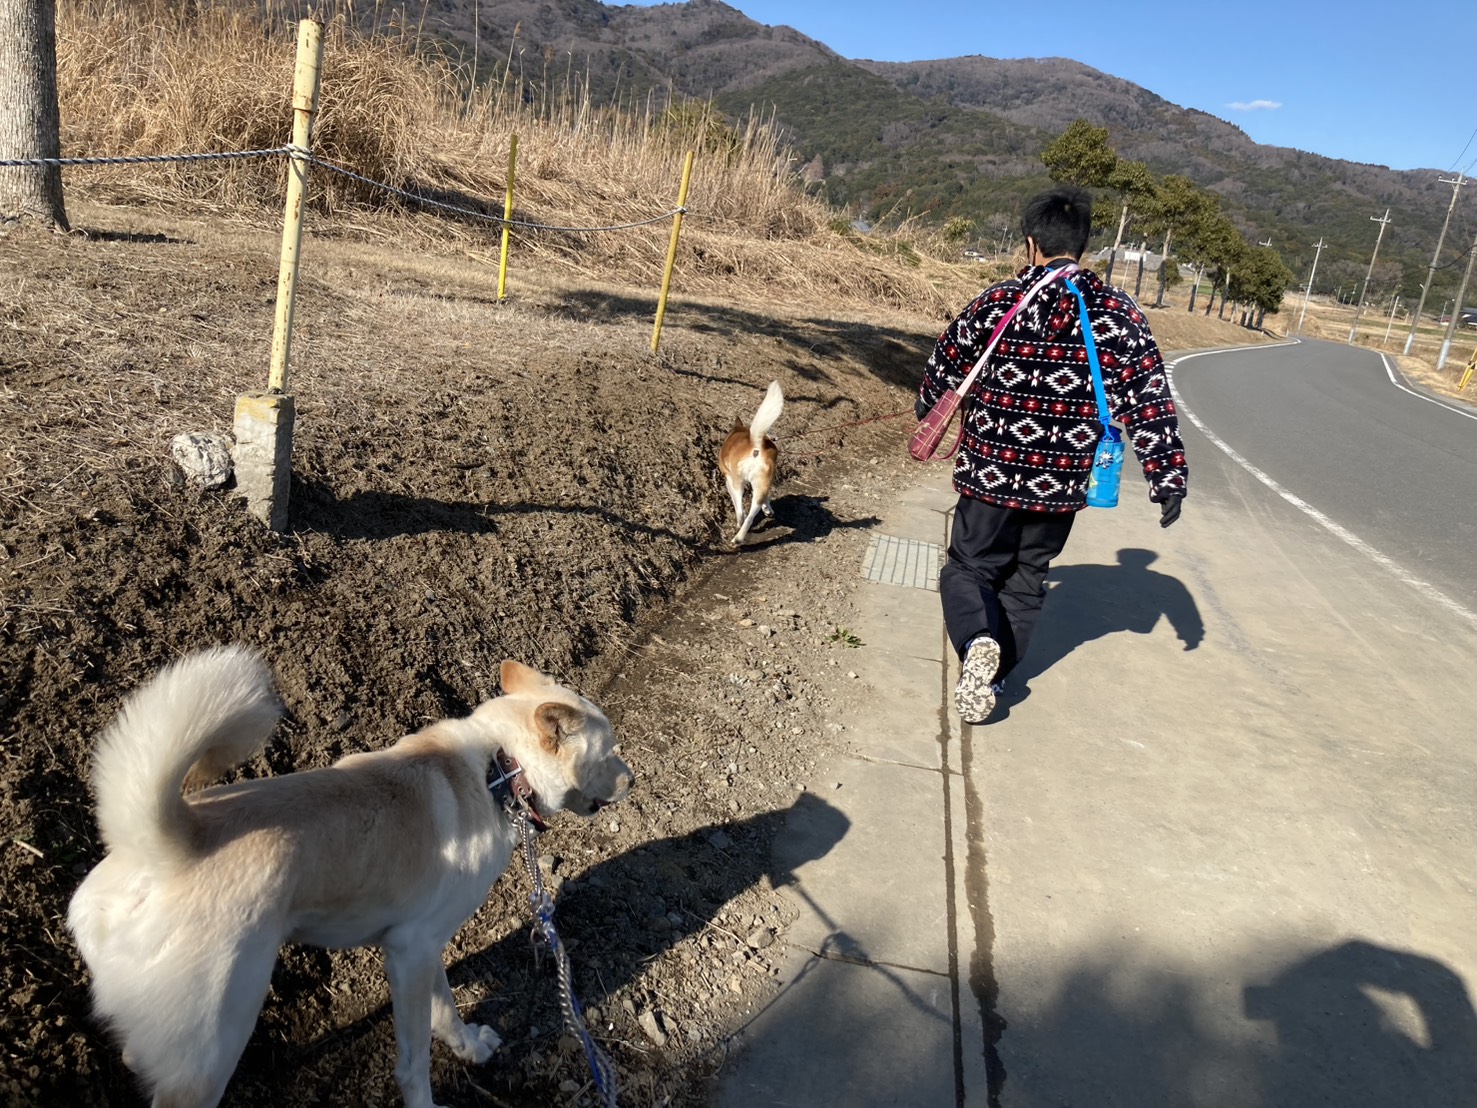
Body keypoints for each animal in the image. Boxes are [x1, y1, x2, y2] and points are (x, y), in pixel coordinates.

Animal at [66, 646, 633, 1108]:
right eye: (610, 752)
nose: (633, 779)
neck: (500, 769)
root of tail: (162, 850)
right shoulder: (410, 953)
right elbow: (414, 1064)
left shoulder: (420, 948)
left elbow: (446, 1012)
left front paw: (470, 1048)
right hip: (213, 1048)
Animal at [717, 380, 784, 544]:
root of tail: (756, 445)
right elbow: (767, 498)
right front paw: (768, 510)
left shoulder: (728, 479)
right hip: (762, 482)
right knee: (752, 513)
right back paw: (739, 537)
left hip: (737, 482)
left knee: (741, 512)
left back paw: (737, 530)